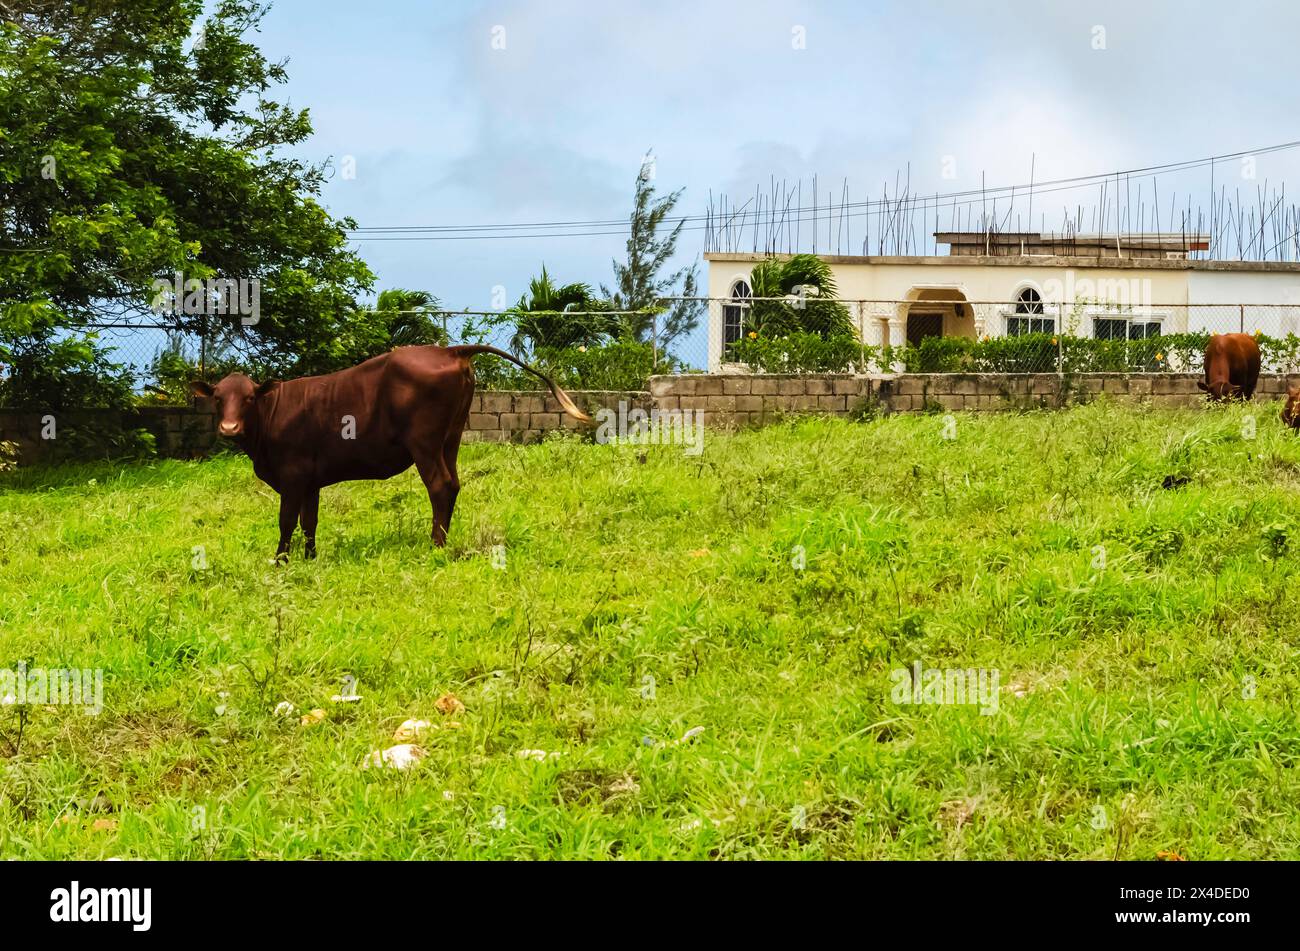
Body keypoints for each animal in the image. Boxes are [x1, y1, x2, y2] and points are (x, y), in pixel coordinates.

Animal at [189, 345, 592, 561]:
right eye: (219, 398)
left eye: (249, 398)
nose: (229, 428)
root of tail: (447, 349)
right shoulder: (310, 481)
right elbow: (309, 521)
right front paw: (310, 557)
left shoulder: (292, 476)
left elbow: (286, 521)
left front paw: (280, 561)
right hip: (451, 439)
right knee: (454, 483)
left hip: (425, 443)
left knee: (440, 486)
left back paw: (436, 545)